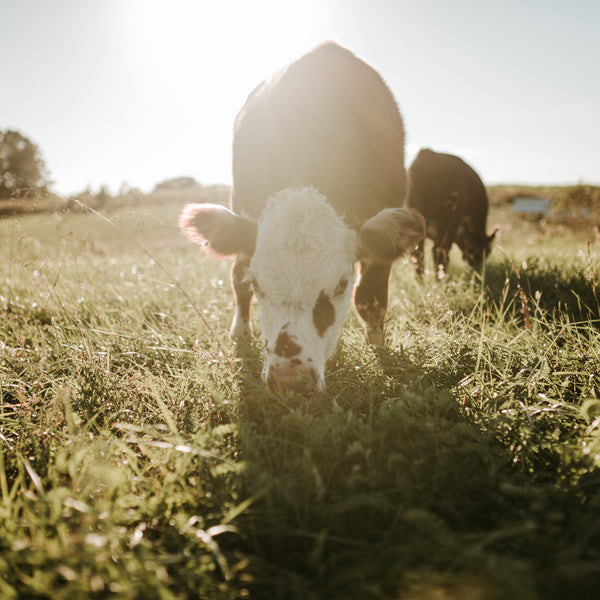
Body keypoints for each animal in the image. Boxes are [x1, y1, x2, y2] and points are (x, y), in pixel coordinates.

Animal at [179, 39, 426, 392]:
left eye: (341, 284)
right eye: (259, 284)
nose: (290, 379)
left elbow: (370, 299)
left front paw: (378, 344)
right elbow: (241, 278)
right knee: (236, 275)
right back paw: (241, 330)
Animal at [406, 149, 500, 278]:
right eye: (486, 251)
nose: (477, 269)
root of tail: (427, 154)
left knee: (417, 254)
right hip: (447, 222)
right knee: (439, 251)